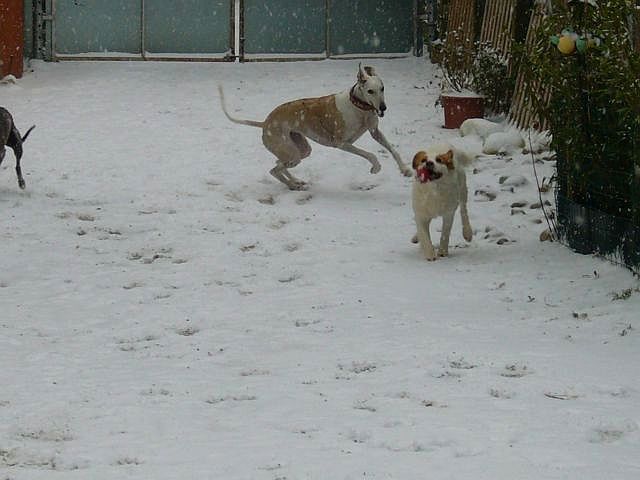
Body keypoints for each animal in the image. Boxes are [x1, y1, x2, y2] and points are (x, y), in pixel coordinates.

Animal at [218, 64, 412, 190]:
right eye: (370, 91)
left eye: (382, 88)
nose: (383, 108)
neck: (359, 106)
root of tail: (265, 123)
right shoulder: (341, 143)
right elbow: (370, 154)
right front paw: (375, 167)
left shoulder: (375, 132)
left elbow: (392, 149)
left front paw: (405, 170)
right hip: (292, 153)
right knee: (274, 170)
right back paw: (294, 185)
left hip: (301, 149)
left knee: (278, 163)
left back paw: (296, 181)